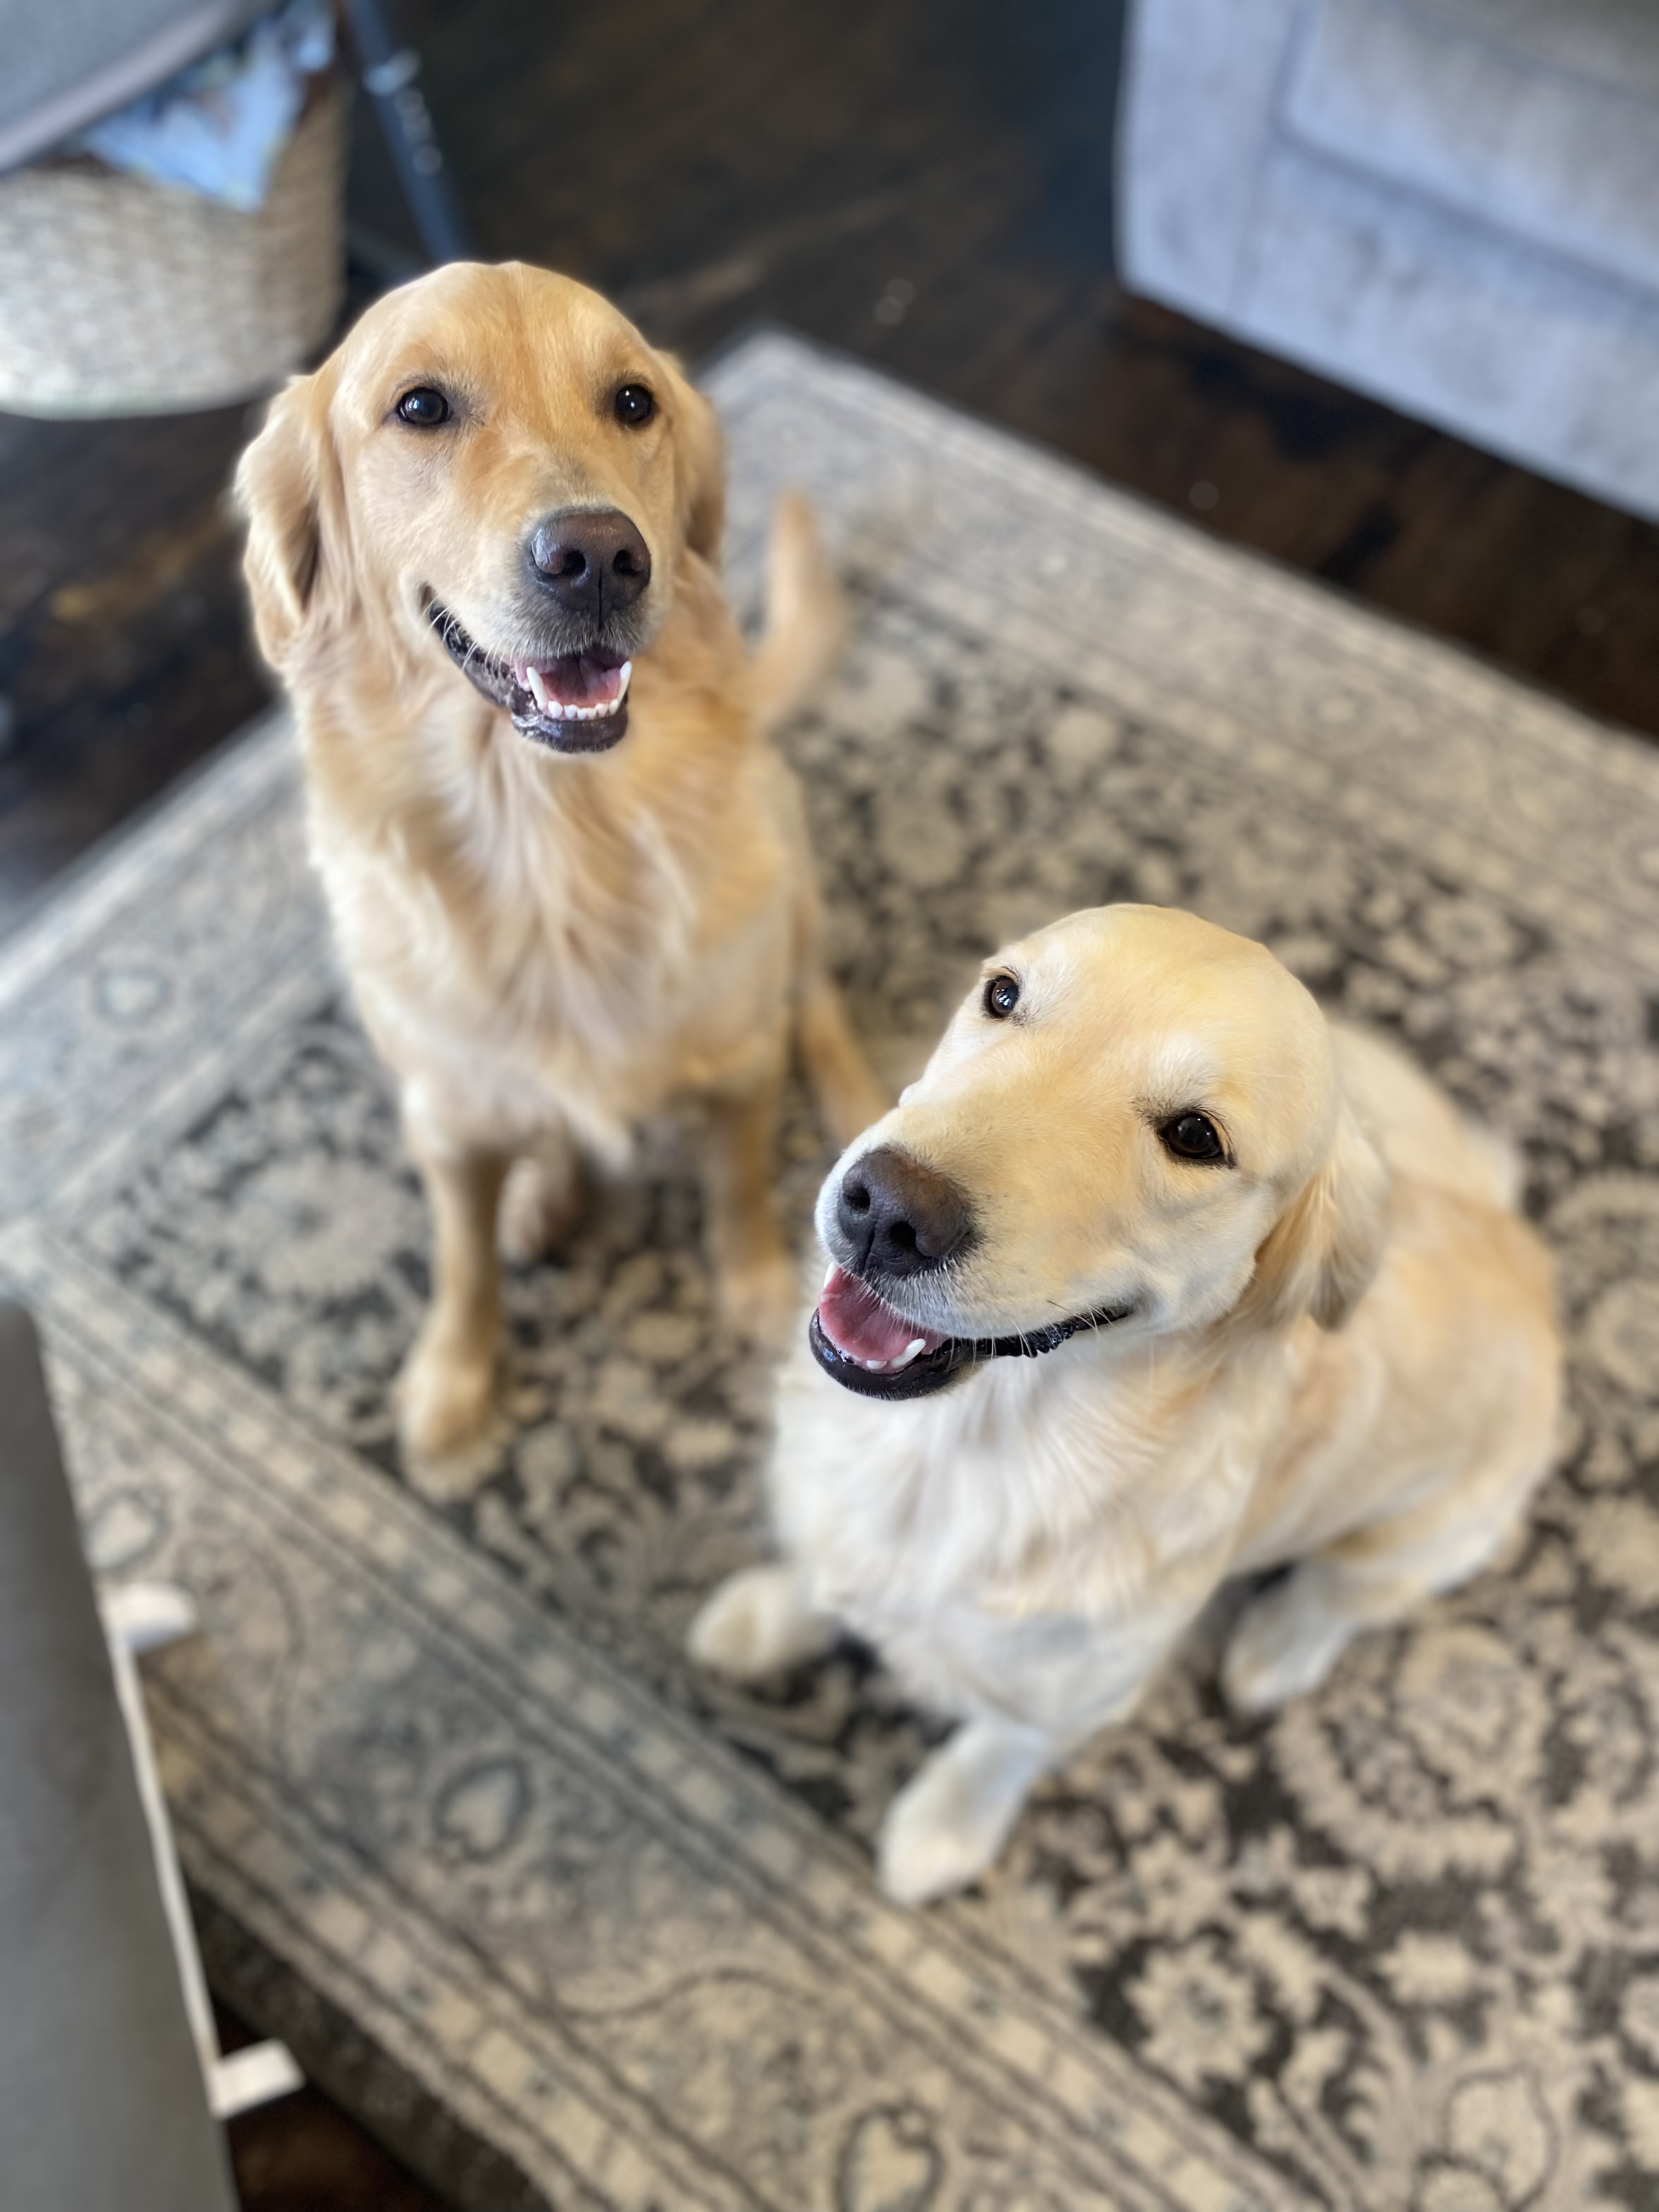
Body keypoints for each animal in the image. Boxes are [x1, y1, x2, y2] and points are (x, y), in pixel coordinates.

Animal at [238, 261, 883, 1461]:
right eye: (421, 407)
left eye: (633, 402)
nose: (598, 558)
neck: (551, 845)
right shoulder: (443, 1116)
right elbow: (459, 1258)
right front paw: (454, 1380)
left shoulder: (738, 1062)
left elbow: (735, 1183)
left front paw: (754, 1286)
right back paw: (543, 1190)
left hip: (795, 888)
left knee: (814, 1006)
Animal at [689, 904, 1560, 1904]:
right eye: (1002, 995)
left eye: (1194, 1137)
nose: (883, 1211)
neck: (959, 1451)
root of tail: (1527, 1260)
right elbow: (820, 1570)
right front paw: (765, 1618)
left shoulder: (1073, 1698)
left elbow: (996, 1751)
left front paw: (944, 1829)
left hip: (1417, 1536)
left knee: (1341, 1598)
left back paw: (1274, 1651)